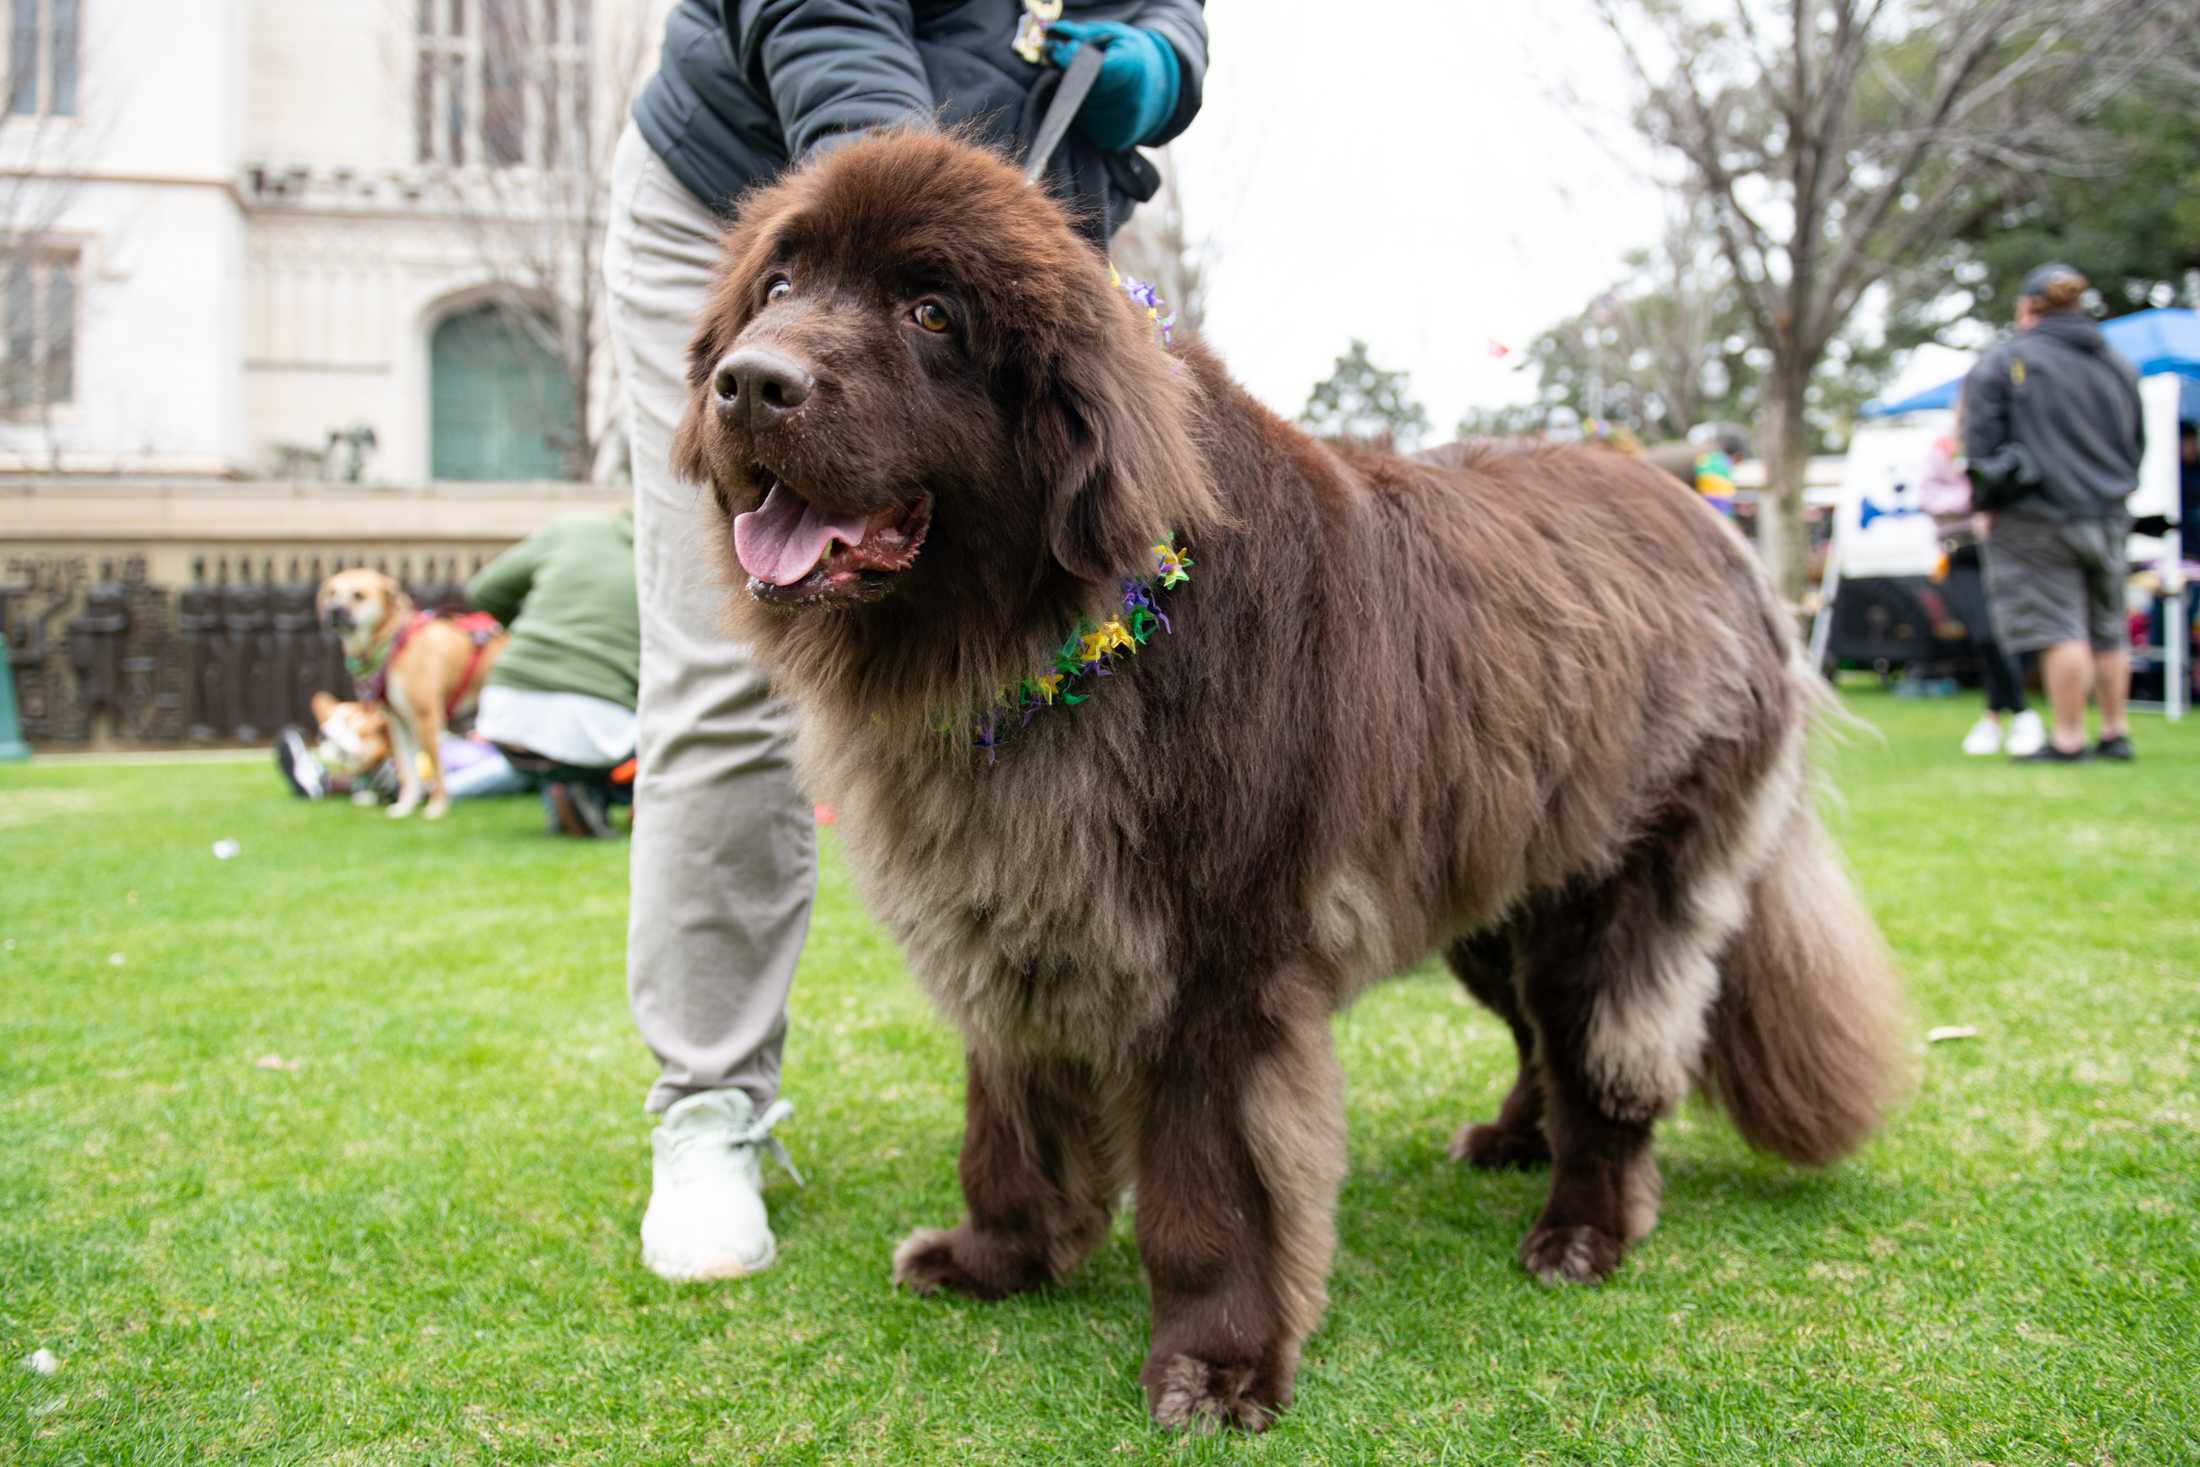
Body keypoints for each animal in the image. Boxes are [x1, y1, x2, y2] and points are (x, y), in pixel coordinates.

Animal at [673, 131, 1909, 1425]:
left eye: (929, 313)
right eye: (776, 288)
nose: (752, 385)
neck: (1047, 636)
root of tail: (1717, 530)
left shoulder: (1217, 970)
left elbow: (1215, 1192)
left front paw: (1216, 1366)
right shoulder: (1015, 921)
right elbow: (1010, 1120)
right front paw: (998, 1258)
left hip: (1620, 884)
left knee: (1606, 1057)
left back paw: (1582, 1226)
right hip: (1491, 886)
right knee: (1537, 1035)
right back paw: (1512, 1140)